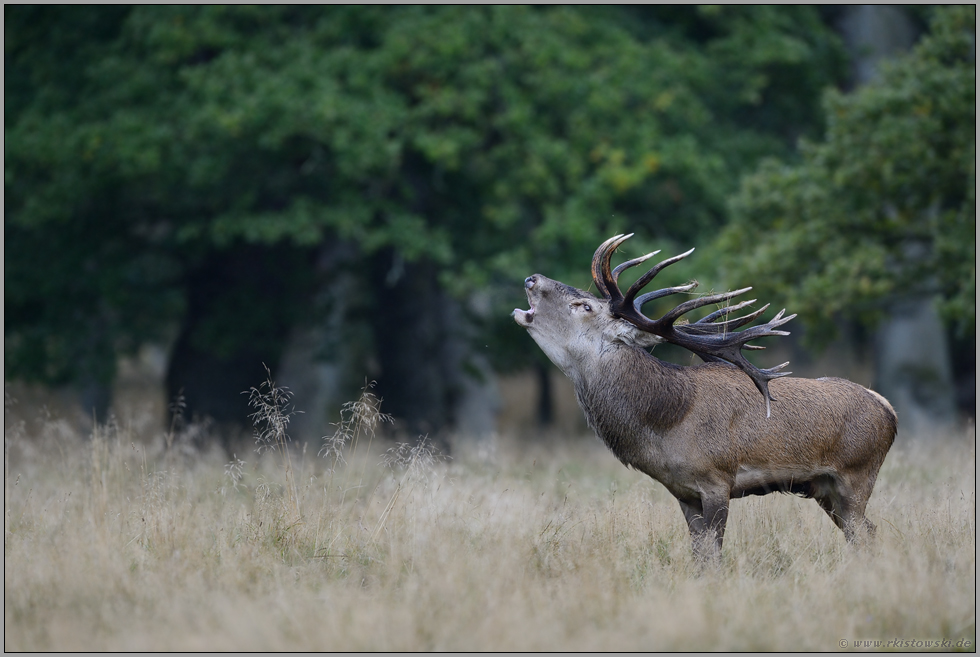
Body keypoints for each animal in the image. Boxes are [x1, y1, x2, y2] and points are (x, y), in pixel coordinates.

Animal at [512, 234, 896, 560]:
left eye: (584, 305)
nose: (532, 278)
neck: (668, 422)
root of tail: (888, 409)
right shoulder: (683, 492)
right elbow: (699, 557)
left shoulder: (717, 479)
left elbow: (714, 556)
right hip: (823, 488)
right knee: (866, 532)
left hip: (857, 474)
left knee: (864, 532)